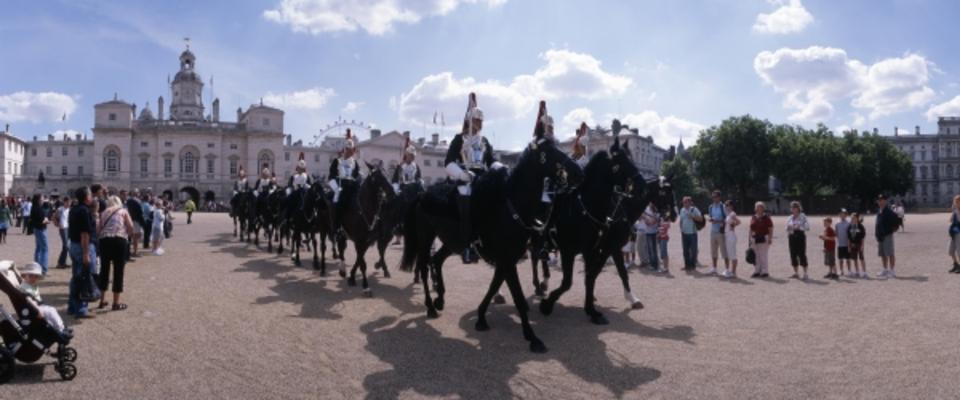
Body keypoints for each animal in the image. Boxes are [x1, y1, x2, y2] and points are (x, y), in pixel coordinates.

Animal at [338, 164, 398, 296]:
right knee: (340, 248)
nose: (392, 193)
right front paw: (365, 286)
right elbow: (362, 263)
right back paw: (342, 269)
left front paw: (352, 277)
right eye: (376, 178)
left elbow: (360, 258)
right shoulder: (360, 241)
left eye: (386, 174)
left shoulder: (367, 241)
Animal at [400, 140, 580, 354]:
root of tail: (422, 195)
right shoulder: (507, 262)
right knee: (424, 266)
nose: (578, 172)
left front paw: (481, 318)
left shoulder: (506, 261)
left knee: (436, 260)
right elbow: (518, 297)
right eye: (547, 153)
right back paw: (430, 306)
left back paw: (440, 299)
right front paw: (533, 338)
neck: (511, 209)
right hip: (426, 238)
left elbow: (494, 287)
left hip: (452, 243)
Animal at [540, 138, 676, 324]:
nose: (674, 215)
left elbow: (606, 273)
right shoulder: (606, 247)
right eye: (665, 192)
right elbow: (597, 274)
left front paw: (626, 299)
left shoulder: (604, 248)